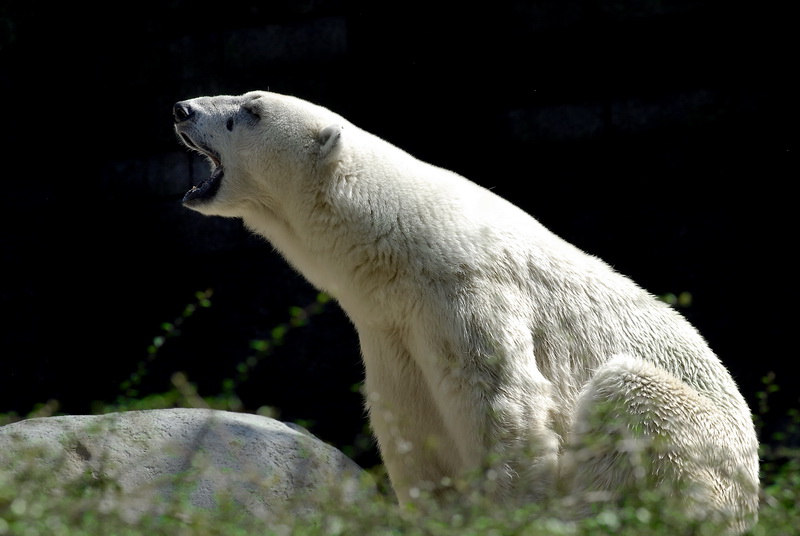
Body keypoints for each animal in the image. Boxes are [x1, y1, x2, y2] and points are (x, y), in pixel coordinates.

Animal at [172, 90, 760, 528]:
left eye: (251, 109)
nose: (181, 108)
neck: (396, 247)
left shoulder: (468, 296)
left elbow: (507, 406)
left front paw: (510, 516)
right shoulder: (389, 329)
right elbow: (409, 424)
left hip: (702, 446)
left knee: (630, 396)